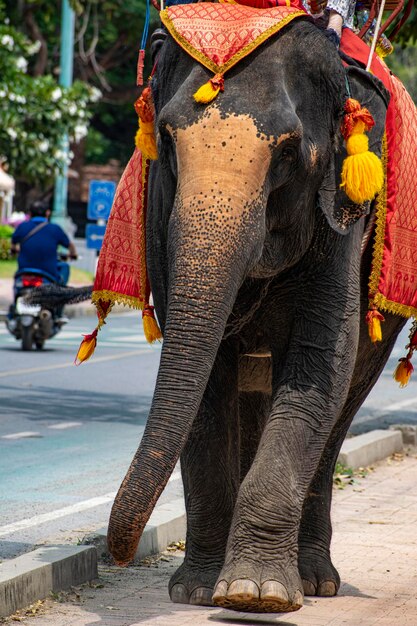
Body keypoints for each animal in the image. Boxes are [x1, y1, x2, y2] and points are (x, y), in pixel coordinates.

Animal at [105, 17, 404, 612]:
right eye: (166, 140)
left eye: (288, 153)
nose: (116, 555)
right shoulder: (160, 210)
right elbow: (206, 379)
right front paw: (198, 590)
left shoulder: (342, 220)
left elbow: (321, 362)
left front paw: (256, 594)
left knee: (345, 403)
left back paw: (315, 581)